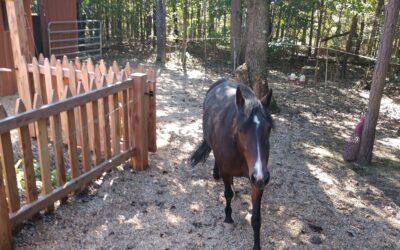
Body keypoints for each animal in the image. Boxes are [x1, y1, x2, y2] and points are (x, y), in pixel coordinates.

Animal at [190, 78, 272, 250]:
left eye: (268, 128)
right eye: (240, 129)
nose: (260, 175)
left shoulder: (258, 181)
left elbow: (256, 218)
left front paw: (256, 245)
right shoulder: (228, 172)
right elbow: (227, 194)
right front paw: (228, 218)